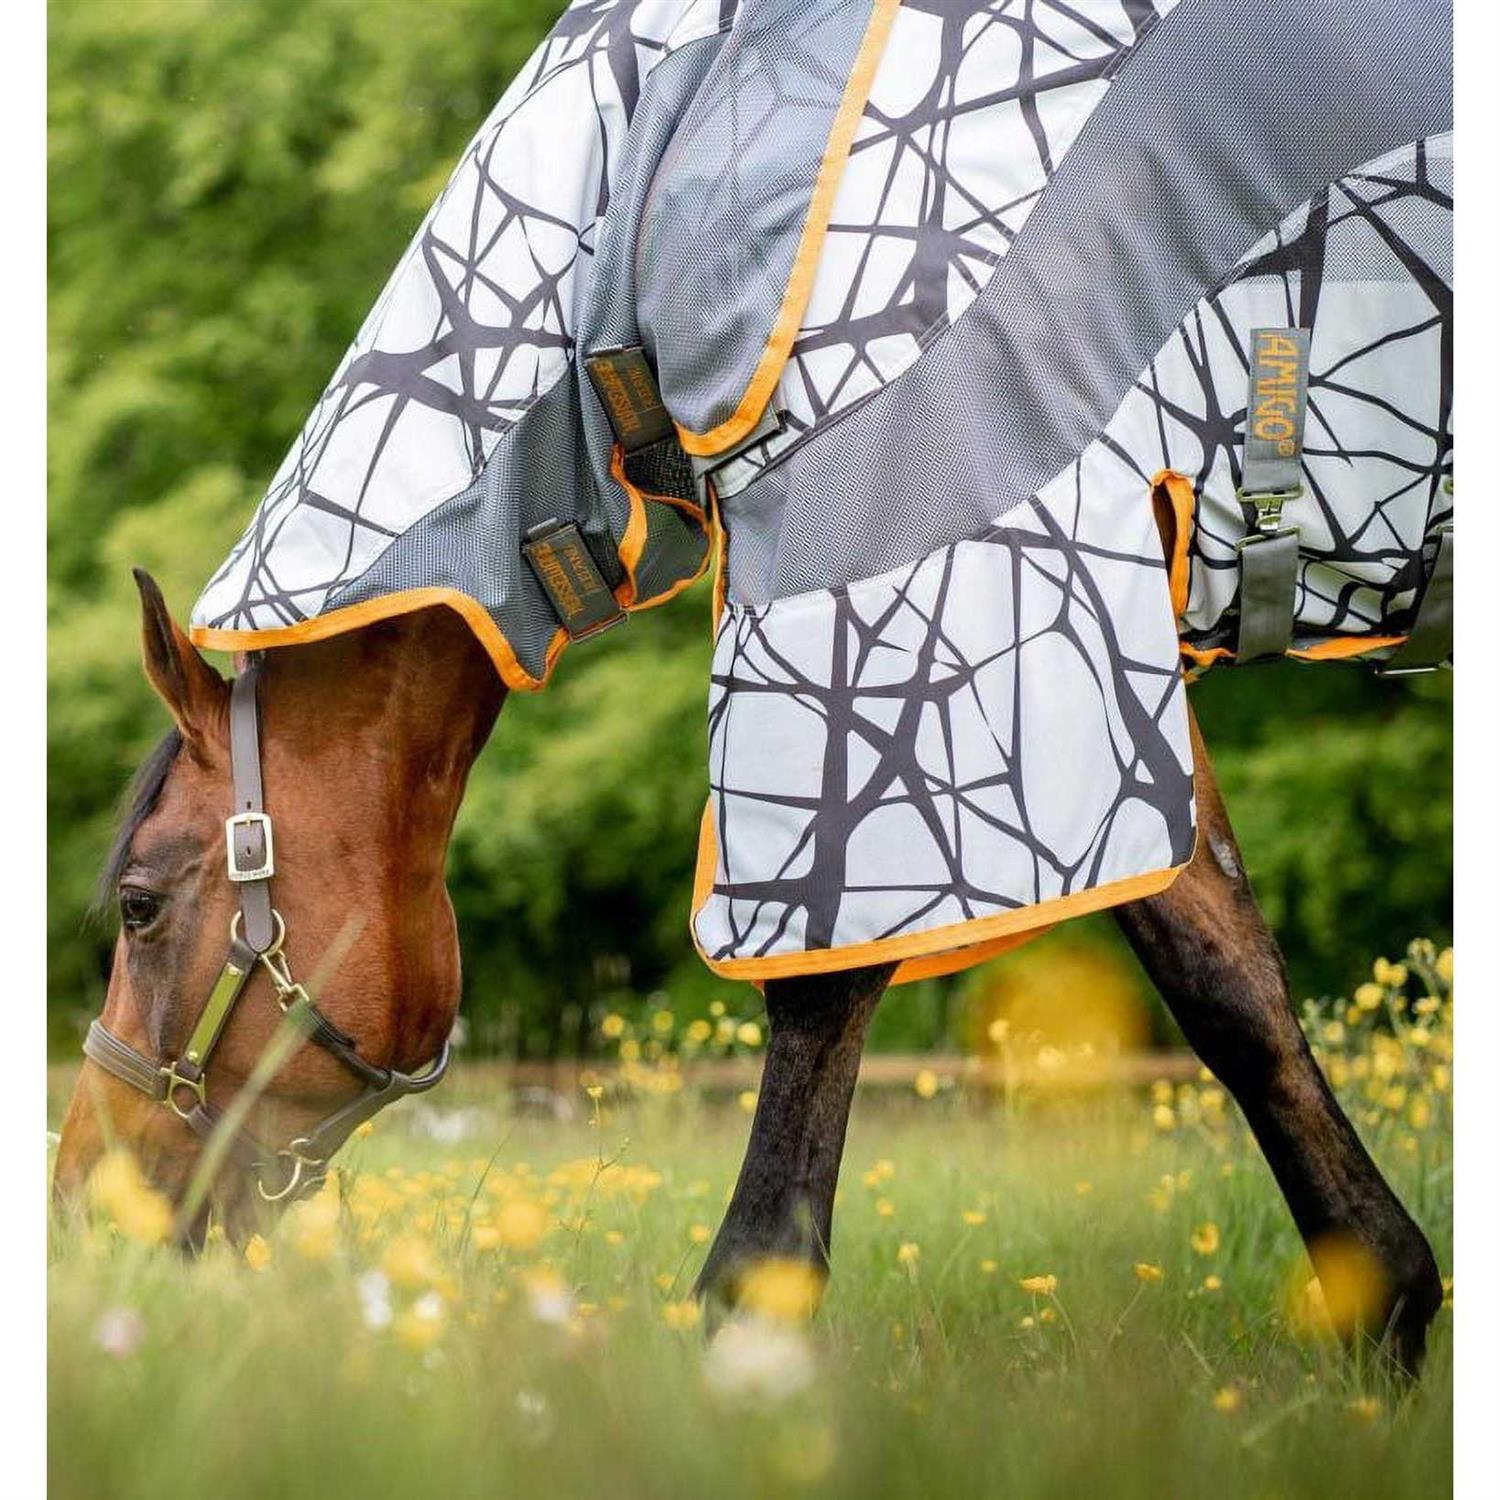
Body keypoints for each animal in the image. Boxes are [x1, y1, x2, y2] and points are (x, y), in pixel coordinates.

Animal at [54, 0, 1450, 1374]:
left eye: (137, 905)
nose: (81, 1207)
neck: (670, 173)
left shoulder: (917, 602)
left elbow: (826, 981)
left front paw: (747, 1322)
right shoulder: (1090, 639)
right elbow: (1228, 981)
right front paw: (1383, 1305)